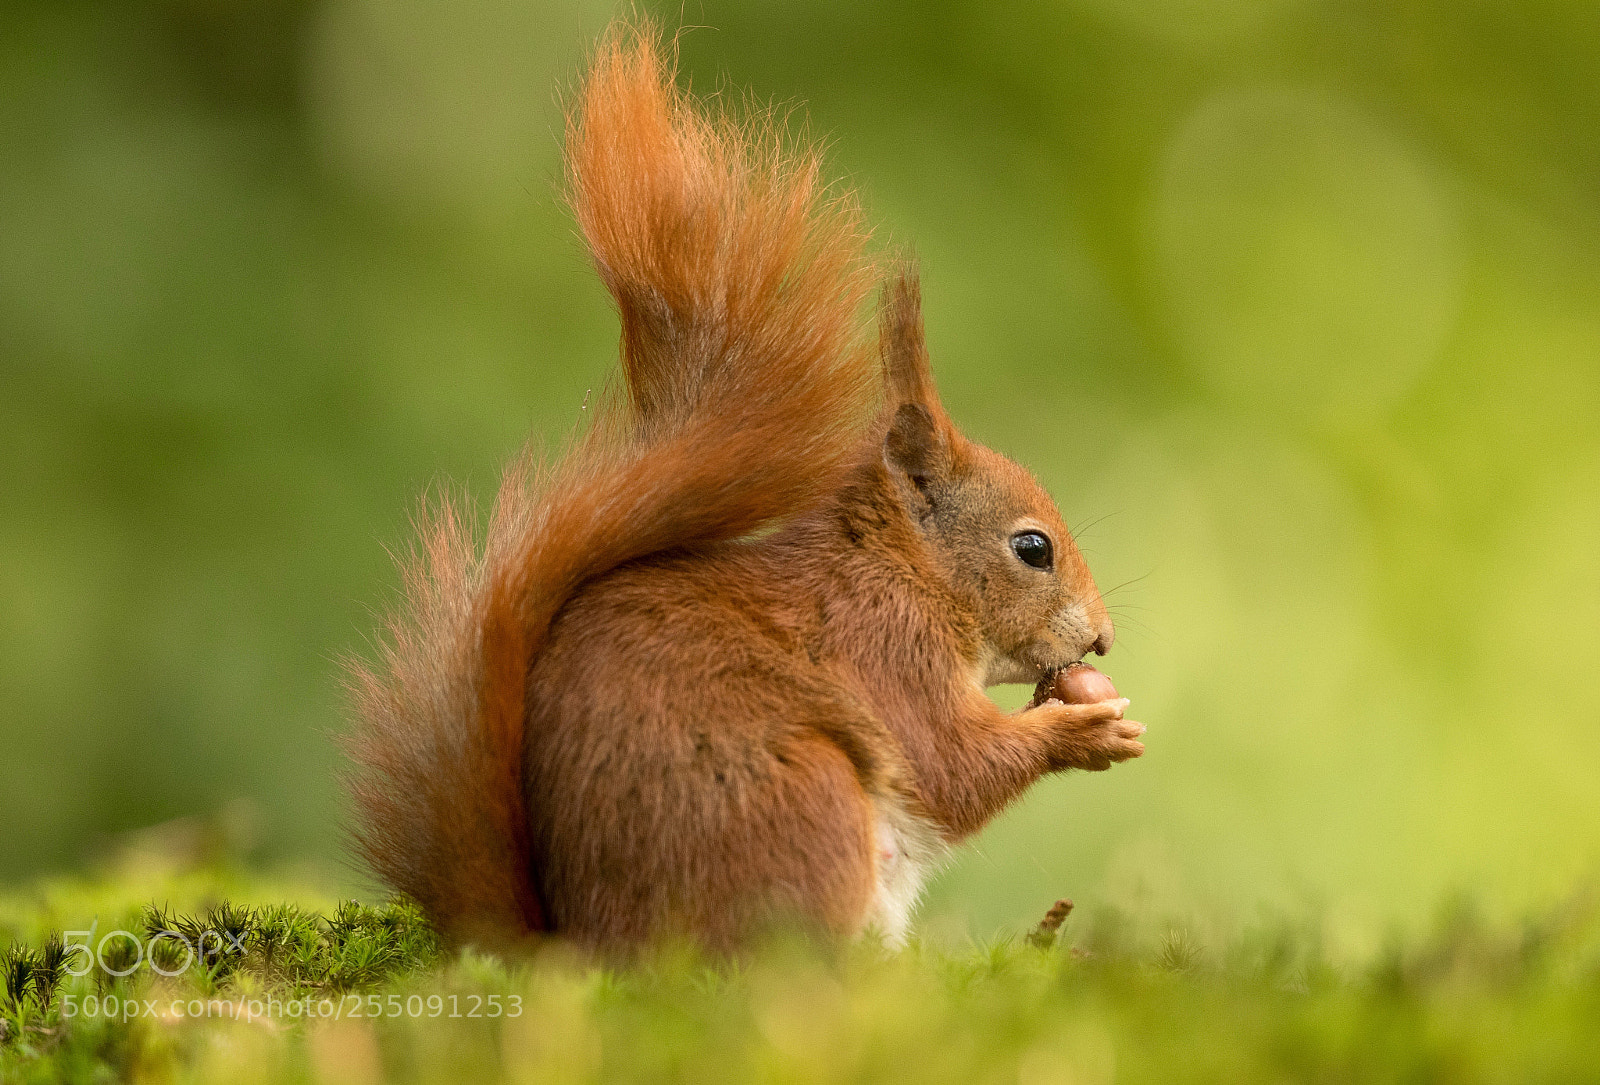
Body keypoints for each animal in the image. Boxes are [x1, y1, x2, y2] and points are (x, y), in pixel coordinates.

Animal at [345, 22, 1143, 955]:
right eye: (1032, 547)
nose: (1102, 640)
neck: (903, 569)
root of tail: (585, 945)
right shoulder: (886, 650)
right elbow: (950, 765)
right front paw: (1085, 730)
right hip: (802, 802)